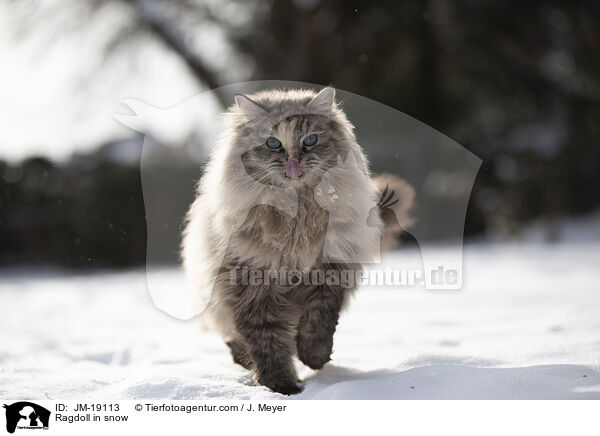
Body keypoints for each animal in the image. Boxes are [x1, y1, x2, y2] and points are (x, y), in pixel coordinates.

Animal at [180, 87, 412, 394]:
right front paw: (281, 386)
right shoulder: (250, 281)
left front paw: (314, 358)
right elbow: (266, 340)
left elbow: (319, 322)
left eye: (310, 140)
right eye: (272, 143)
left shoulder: (329, 272)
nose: (293, 160)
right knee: (234, 339)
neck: (297, 219)